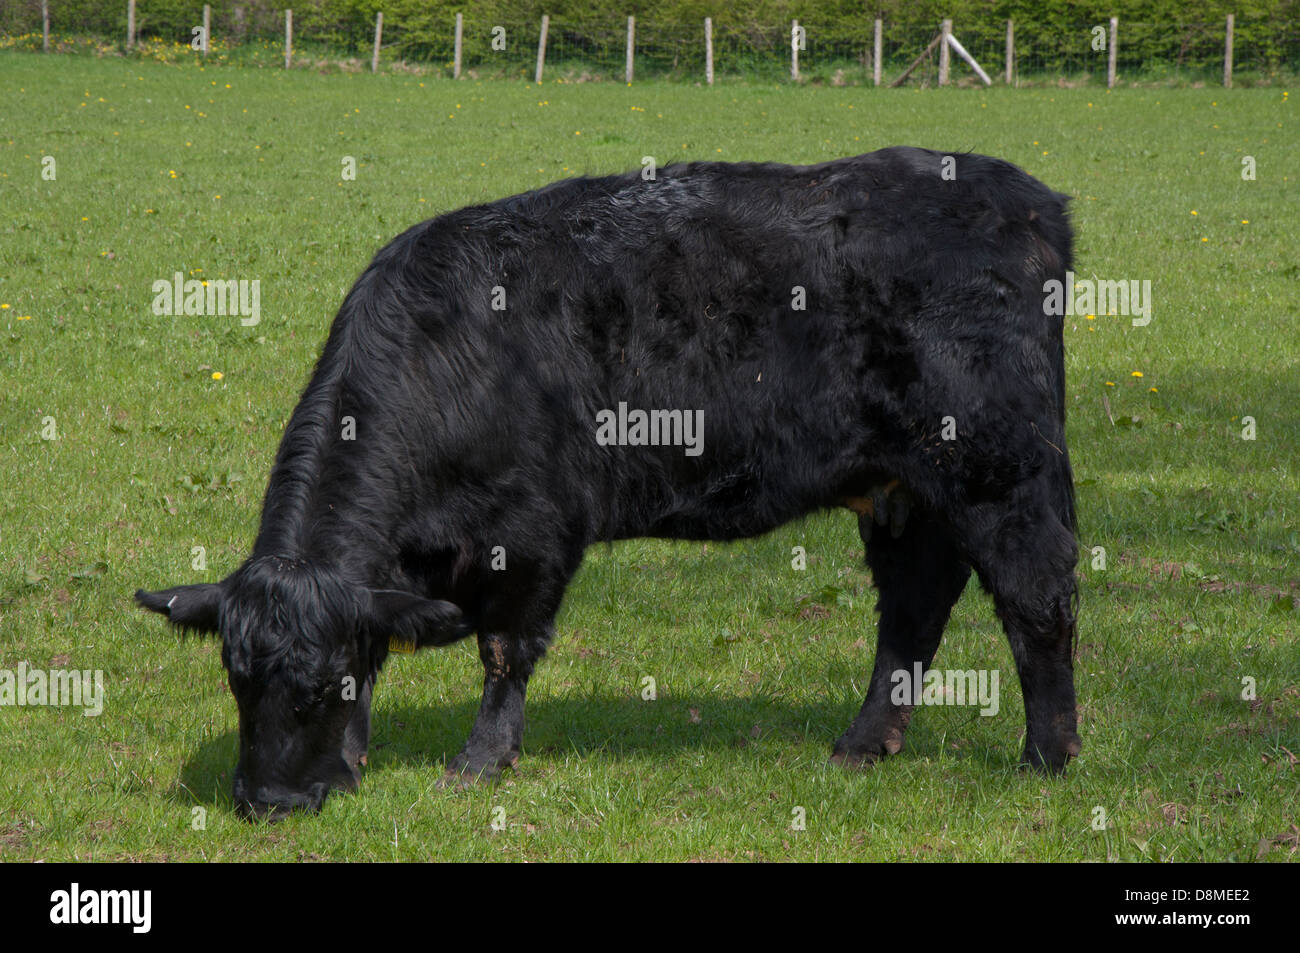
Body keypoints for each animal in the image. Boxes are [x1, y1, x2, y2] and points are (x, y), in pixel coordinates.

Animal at [137, 147, 1082, 820]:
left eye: (320, 685)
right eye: (236, 680)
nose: (268, 803)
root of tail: (1023, 197)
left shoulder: (530, 534)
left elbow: (504, 650)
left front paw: (479, 762)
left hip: (999, 470)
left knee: (1037, 596)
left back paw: (1048, 756)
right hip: (905, 487)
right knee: (915, 606)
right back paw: (863, 742)